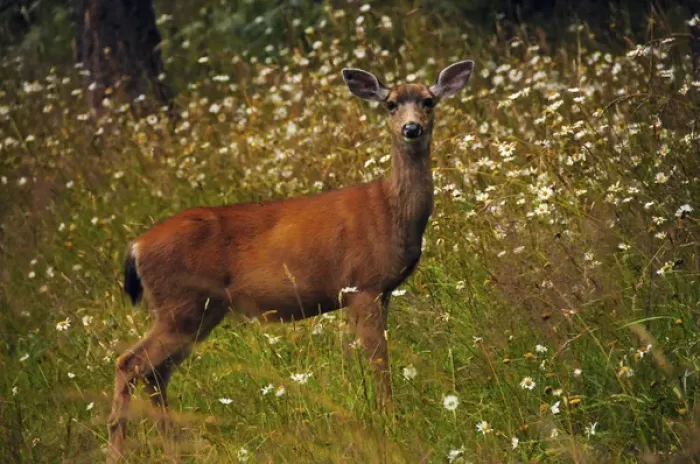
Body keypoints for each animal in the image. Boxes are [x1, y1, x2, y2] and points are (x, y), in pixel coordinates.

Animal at [107, 60, 474, 462]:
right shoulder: (362, 285)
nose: (412, 128)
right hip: (179, 303)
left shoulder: (378, 292)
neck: (390, 209)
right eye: (390, 104)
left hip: (198, 311)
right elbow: (379, 361)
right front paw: (389, 419)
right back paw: (118, 451)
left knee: (156, 373)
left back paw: (172, 447)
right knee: (129, 363)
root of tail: (136, 246)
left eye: (428, 101)